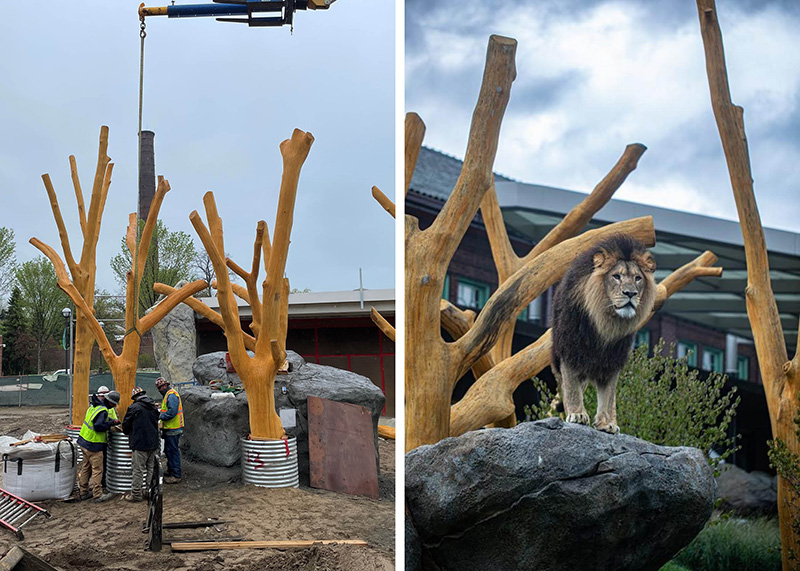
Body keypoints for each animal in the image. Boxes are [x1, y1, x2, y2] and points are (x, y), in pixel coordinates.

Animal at [552, 232, 656, 434]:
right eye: (616, 276)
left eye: (638, 278)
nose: (630, 293)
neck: (606, 322)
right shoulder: (570, 350)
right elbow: (572, 388)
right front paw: (577, 415)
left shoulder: (613, 359)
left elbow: (607, 395)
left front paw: (606, 423)